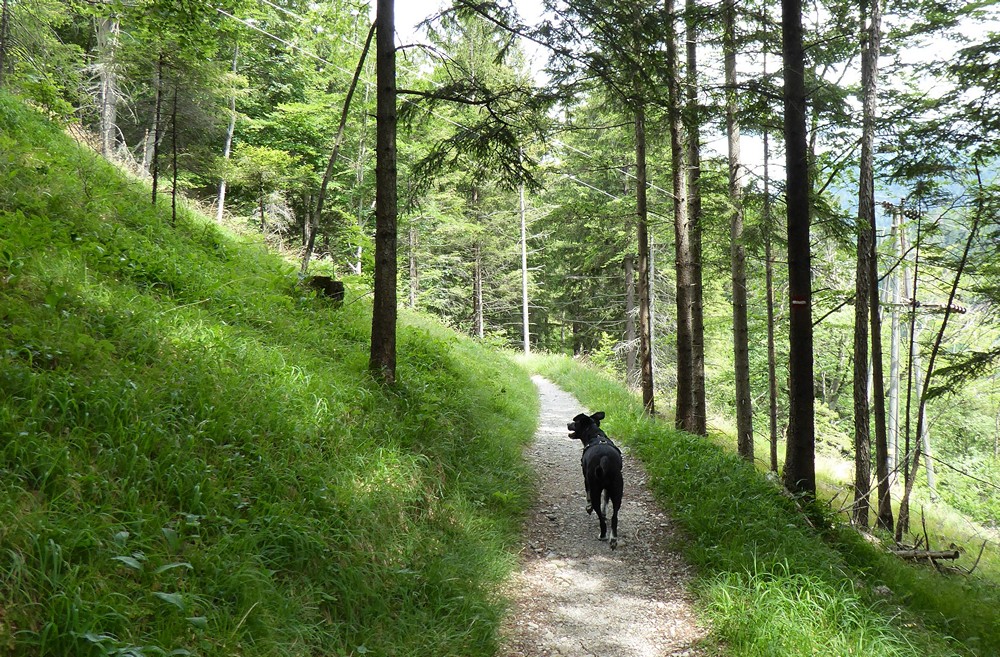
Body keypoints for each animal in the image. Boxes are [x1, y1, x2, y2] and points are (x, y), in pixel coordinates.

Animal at [568, 410, 620, 548]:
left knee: (600, 517)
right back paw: (613, 538)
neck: (595, 435)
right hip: (617, 490)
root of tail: (604, 458)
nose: (568, 424)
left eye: (575, 422)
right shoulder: (607, 489)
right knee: (615, 516)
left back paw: (603, 535)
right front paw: (604, 511)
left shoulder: (586, 479)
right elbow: (605, 502)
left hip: (595, 487)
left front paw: (588, 507)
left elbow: (588, 496)